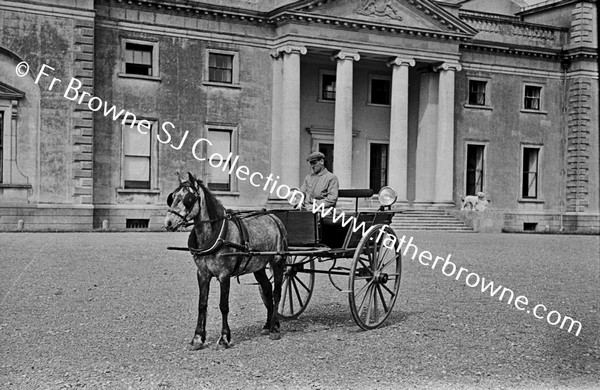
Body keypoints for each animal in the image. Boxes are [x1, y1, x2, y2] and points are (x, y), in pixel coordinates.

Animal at [163, 172, 288, 348]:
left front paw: (224, 337)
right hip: (259, 266)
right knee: (267, 289)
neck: (215, 235)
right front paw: (198, 337)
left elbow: (223, 306)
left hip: (277, 261)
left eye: (188, 198)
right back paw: (268, 324)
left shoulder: (224, 275)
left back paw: (275, 328)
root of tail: (274, 217)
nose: (168, 222)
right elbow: (202, 304)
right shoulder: (202, 274)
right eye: (172, 197)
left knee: (277, 293)